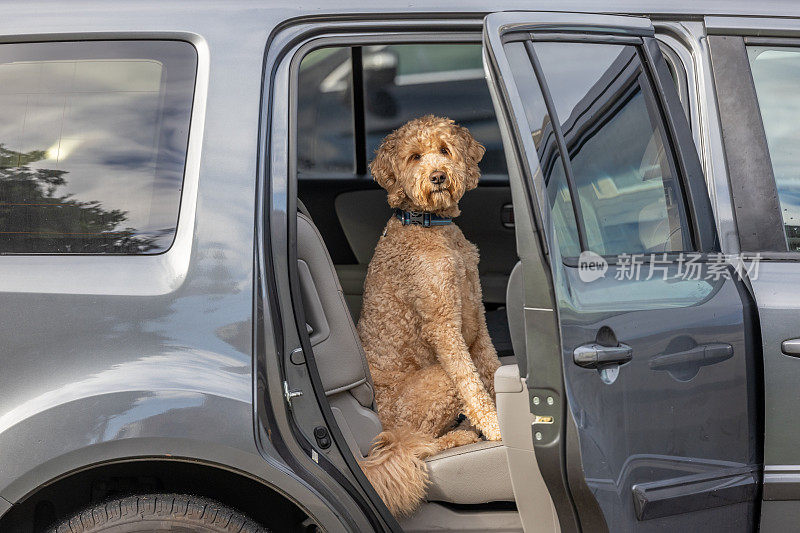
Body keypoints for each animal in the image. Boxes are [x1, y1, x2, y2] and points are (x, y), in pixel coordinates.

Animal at [356, 115, 500, 516]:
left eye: (444, 150)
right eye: (414, 157)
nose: (437, 176)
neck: (430, 225)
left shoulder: (477, 316)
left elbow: (493, 368)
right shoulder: (444, 325)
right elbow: (472, 383)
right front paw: (496, 427)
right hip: (432, 387)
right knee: (420, 442)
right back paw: (461, 436)